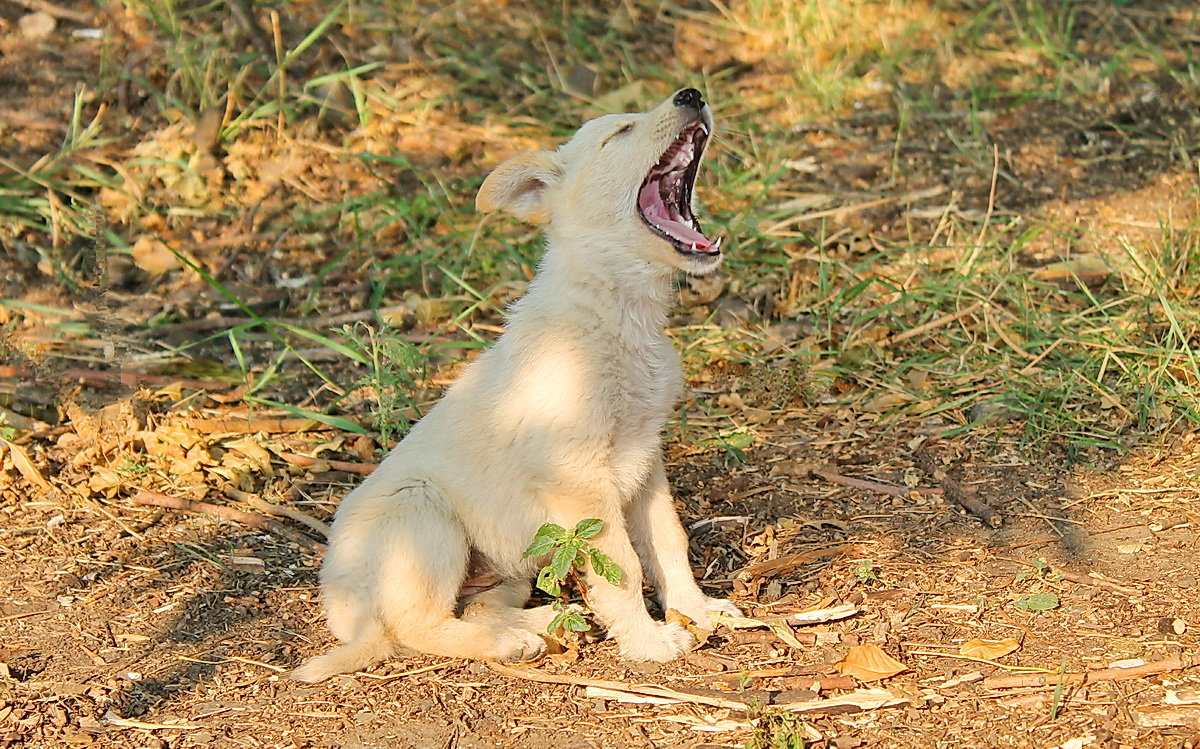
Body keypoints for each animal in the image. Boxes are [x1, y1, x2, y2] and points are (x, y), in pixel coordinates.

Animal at [292, 87, 739, 686]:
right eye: (619, 133)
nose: (691, 95)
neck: (616, 311)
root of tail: (346, 620)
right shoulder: (577, 477)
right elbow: (620, 566)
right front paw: (648, 642)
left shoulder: (646, 463)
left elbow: (669, 542)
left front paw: (696, 610)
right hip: (420, 510)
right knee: (416, 627)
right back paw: (510, 643)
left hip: (507, 566)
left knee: (475, 606)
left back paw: (542, 625)